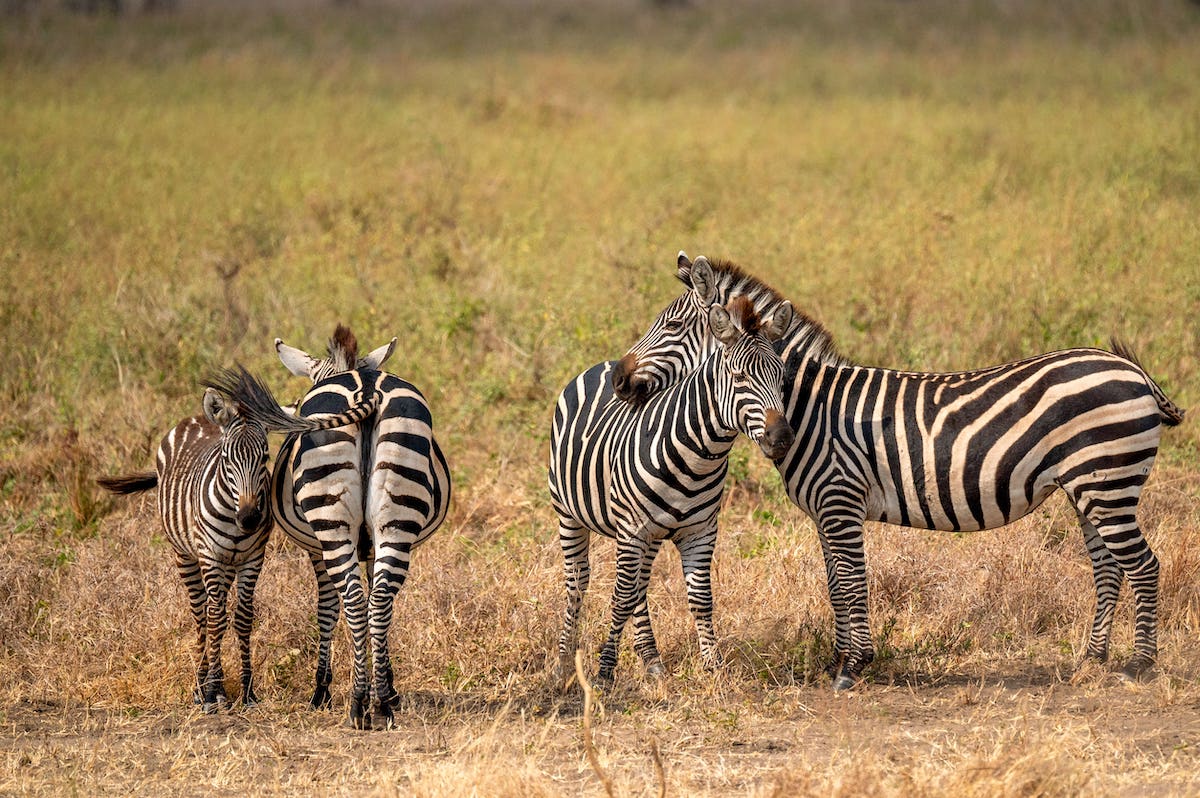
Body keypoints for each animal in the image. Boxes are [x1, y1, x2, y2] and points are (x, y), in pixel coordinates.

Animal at [99, 374, 379, 710]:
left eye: (265, 457)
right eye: (226, 459)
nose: (249, 519)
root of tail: (197, 418)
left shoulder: (253, 558)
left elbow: (243, 618)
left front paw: (247, 691)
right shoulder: (210, 555)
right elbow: (215, 619)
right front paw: (212, 692)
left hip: (229, 564)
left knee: (215, 607)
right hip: (186, 554)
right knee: (201, 613)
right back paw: (200, 686)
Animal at [220, 324, 451, 729]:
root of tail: (367, 389)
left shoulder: (316, 548)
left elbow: (327, 608)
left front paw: (322, 690)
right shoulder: (371, 545)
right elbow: (376, 603)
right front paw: (387, 684)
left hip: (331, 522)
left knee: (355, 602)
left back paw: (359, 706)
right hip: (397, 519)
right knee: (379, 601)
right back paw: (382, 705)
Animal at [549, 295, 796, 681]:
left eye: (783, 378)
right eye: (739, 376)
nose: (782, 438)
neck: (698, 455)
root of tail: (603, 364)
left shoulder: (700, 532)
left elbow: (701, 600)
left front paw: (714, 667)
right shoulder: (632, 530)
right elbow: (619, 598)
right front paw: (605, 672)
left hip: (650, 535)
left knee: (639, 586)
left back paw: (651, 659)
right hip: (569, 514)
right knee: (578, 583)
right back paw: (563, 663)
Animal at [609, 252, 1180, 686]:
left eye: (671, 325)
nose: (618, 379)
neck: (809, 409)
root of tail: (1133, 369)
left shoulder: (840, 500)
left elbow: (852, 580)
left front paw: (854, 666)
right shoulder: (826, 510)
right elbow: (835, 583)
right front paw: (838, 659)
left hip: (1108, 483)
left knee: (1143, 566)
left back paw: (1140, 665)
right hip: (1090, 487)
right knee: (1108, 567)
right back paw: (1092, 659)